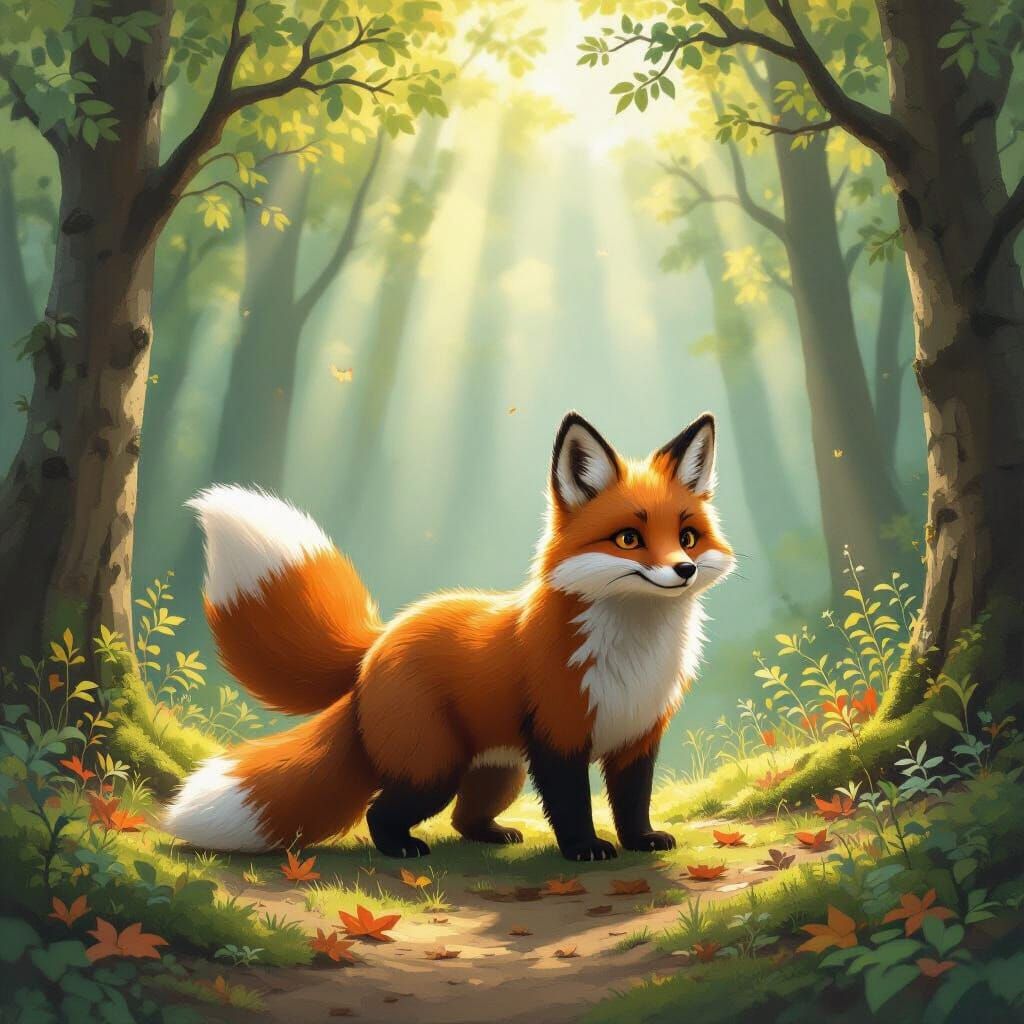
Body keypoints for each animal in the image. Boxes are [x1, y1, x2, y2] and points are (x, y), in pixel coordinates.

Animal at [163, 411, 735, 861]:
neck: (634, 652)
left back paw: (491, 835)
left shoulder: (638, 736)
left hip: (499, 770)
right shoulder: (558, 737)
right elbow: (572, 805)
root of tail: (379, 641)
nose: (683, 569)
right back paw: (400, 848)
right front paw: (584, 850)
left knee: (465, 816)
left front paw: (640, 841)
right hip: (432, 771)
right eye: (629, 539)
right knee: (380, 811)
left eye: (687, 537)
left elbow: (633, 801)